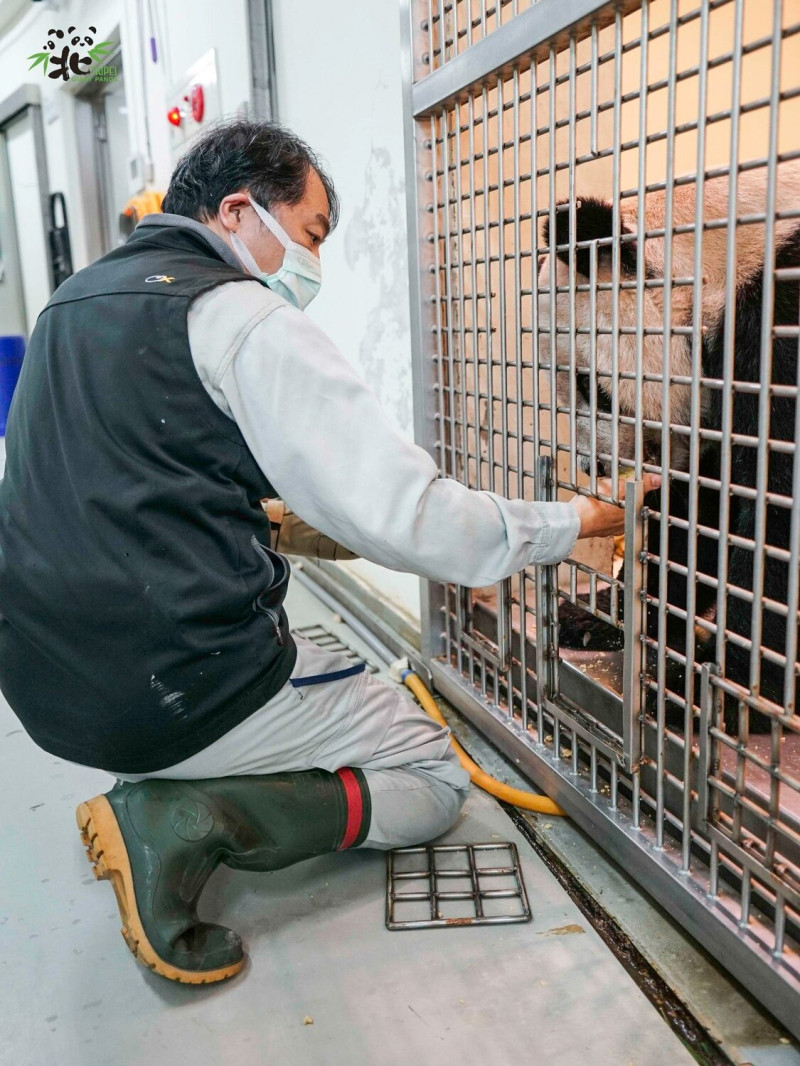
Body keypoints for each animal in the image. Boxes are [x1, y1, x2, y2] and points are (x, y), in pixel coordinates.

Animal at [539, 162, 800, 733]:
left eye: (591, 387)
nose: (594, 465)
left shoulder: (782, 328)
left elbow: (774, 518)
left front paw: (723, 694)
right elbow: (701, 511)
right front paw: (604, 616)